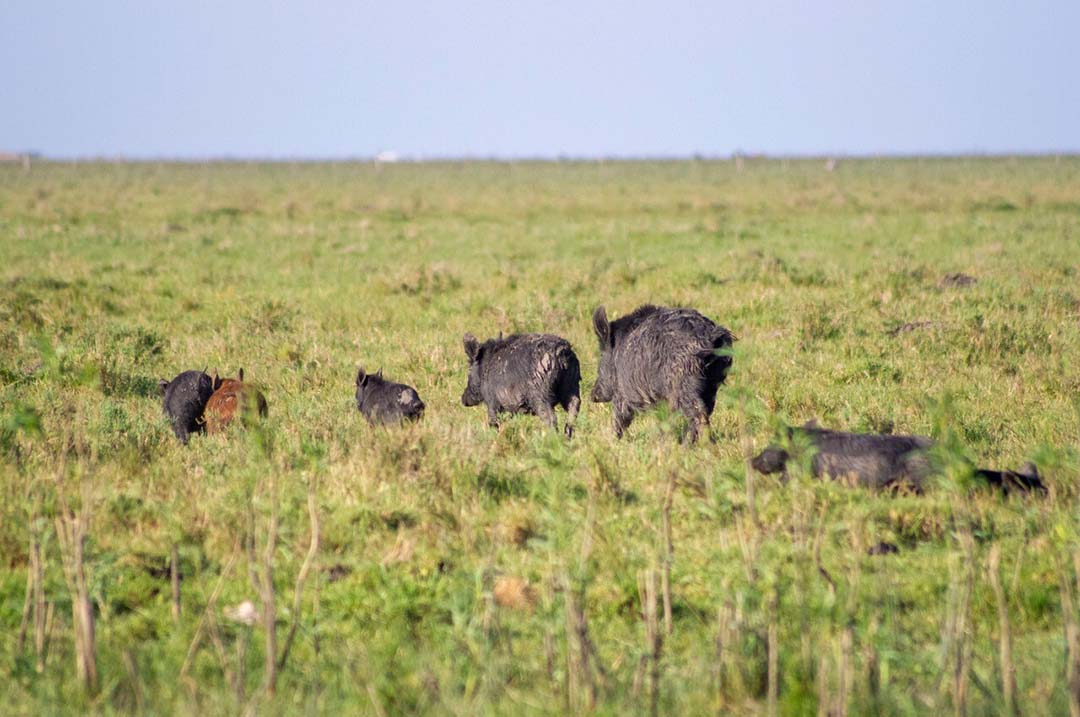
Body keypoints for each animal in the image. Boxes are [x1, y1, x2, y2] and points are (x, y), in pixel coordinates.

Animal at [591, 304, 734, 442]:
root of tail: (710, 337)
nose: (592, 396)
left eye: (601, 356)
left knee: (698, 415)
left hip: (684, 384)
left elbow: (620, 416)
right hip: (712, 384)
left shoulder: (624, 393)